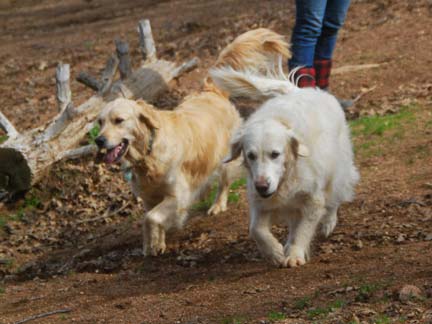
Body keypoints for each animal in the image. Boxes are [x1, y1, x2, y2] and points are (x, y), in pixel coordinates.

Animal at [94, 28, 290, 256]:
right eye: (100, 122)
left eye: (119, 120)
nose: (99, 140)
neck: (149, 154)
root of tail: (210, 91)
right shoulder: (149, 198)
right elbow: (150, 219)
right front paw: (155, 243)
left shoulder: (177, 195)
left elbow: (151, 218)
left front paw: (153, 244)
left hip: (224, 158)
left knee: (224, 182)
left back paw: (217, 205)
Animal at [211, 64, 360, 268]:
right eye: (251, 156)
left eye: (275, 154)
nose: (262, 186)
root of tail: (303, 90)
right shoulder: (260, 203)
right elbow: (256, 229)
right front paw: (274, 252)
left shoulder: (313, 200)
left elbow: (304, 229)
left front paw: (295, 254)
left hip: (338, 171)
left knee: (335, 198)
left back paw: (328, 223)